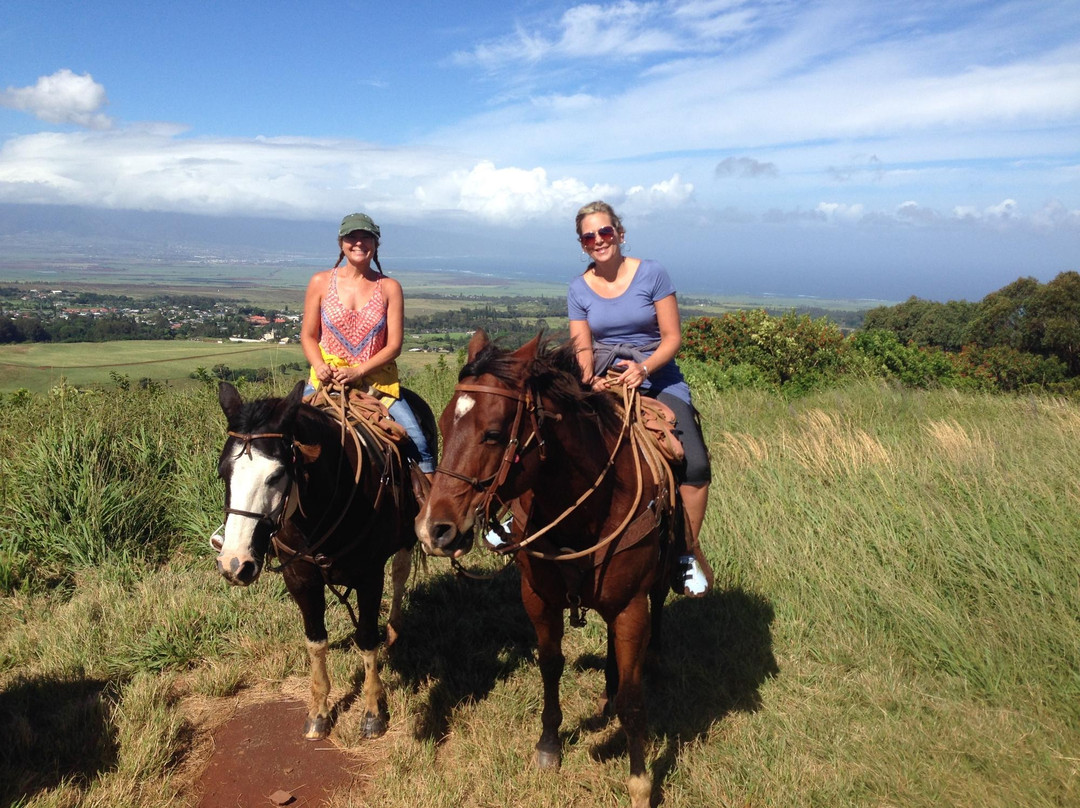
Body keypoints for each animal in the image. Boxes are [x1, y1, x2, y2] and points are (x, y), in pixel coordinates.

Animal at [214, 382, 434, 743]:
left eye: (277, 474)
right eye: (223, 472)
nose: (235, 563)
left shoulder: (369, 577)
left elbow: (367, 639)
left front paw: (373, 713)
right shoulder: (300, 578)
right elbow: (315, 641)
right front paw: (318, 712)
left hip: (406, 537)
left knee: (400, 575)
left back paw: (394, 627)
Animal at [414, 330, 682, 808]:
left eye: (494, 433)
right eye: (443, 424)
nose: (434, 530)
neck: (588, 506)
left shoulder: (630, 608)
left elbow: (634, 699)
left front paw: (640, 781)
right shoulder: (539, 599)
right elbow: (550, 665)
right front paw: (549, 745)